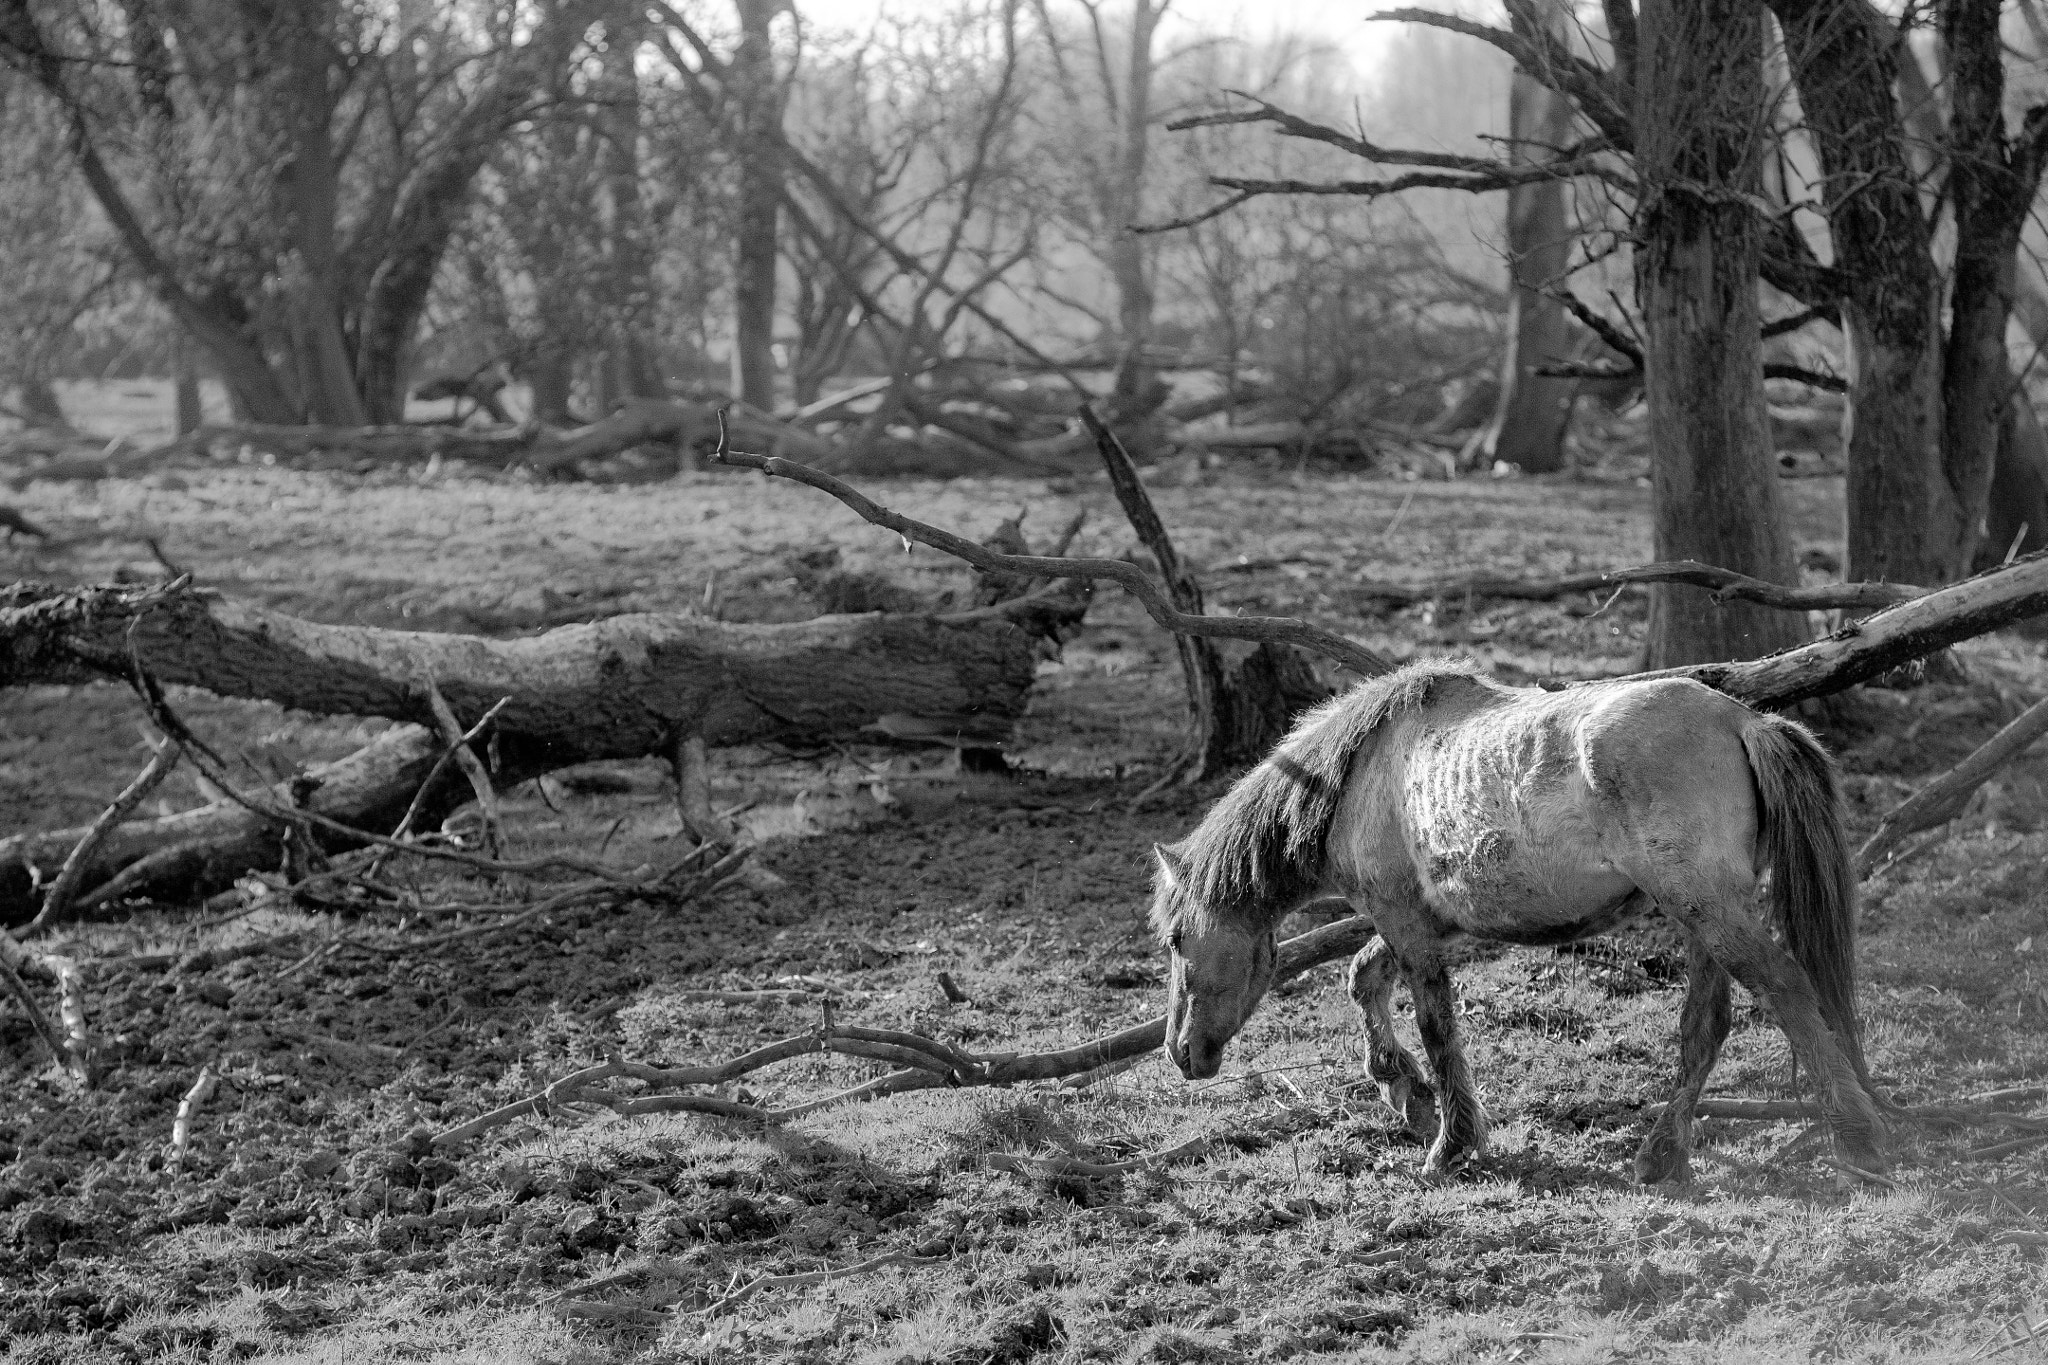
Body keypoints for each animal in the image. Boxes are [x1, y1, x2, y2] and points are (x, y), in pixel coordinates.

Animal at [1146, 663, 1875, 1186]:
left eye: (1178, 940)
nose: (1181, 1052)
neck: (1355, 779)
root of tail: (1743, 721)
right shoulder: (1428, 921)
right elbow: (1362, 978)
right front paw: (1404, 1092)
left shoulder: (1404, 922)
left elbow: (1436, 1026)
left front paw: (1449, 1144)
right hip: (1699, 918)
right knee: (1706, 1026)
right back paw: (1661, 1154)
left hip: (1711, 910)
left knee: (1786, 990)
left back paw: (1859, 1136)